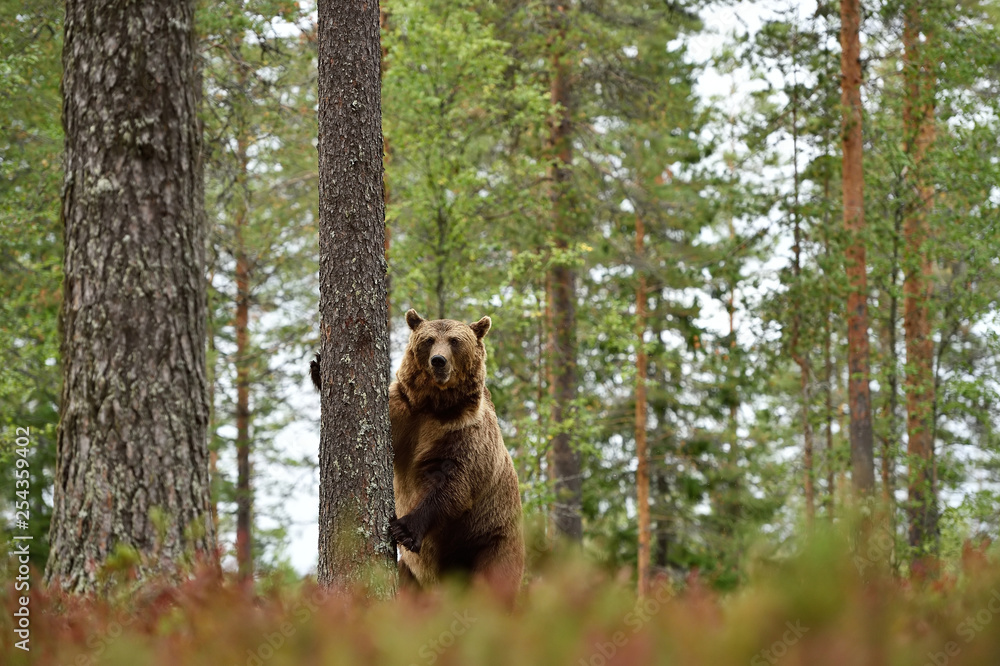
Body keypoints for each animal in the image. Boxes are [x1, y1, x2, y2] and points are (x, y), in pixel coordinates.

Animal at [310, 306, 528, 600]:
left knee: (493, 581)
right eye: (428, 340)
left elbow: (451, 482)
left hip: (490, 539)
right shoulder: (404, 411)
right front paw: (319, 367)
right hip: (413, 576)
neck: (435, 406)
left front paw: (404, 529)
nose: (438, 361)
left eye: (455, 341)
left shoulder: (463, 434)